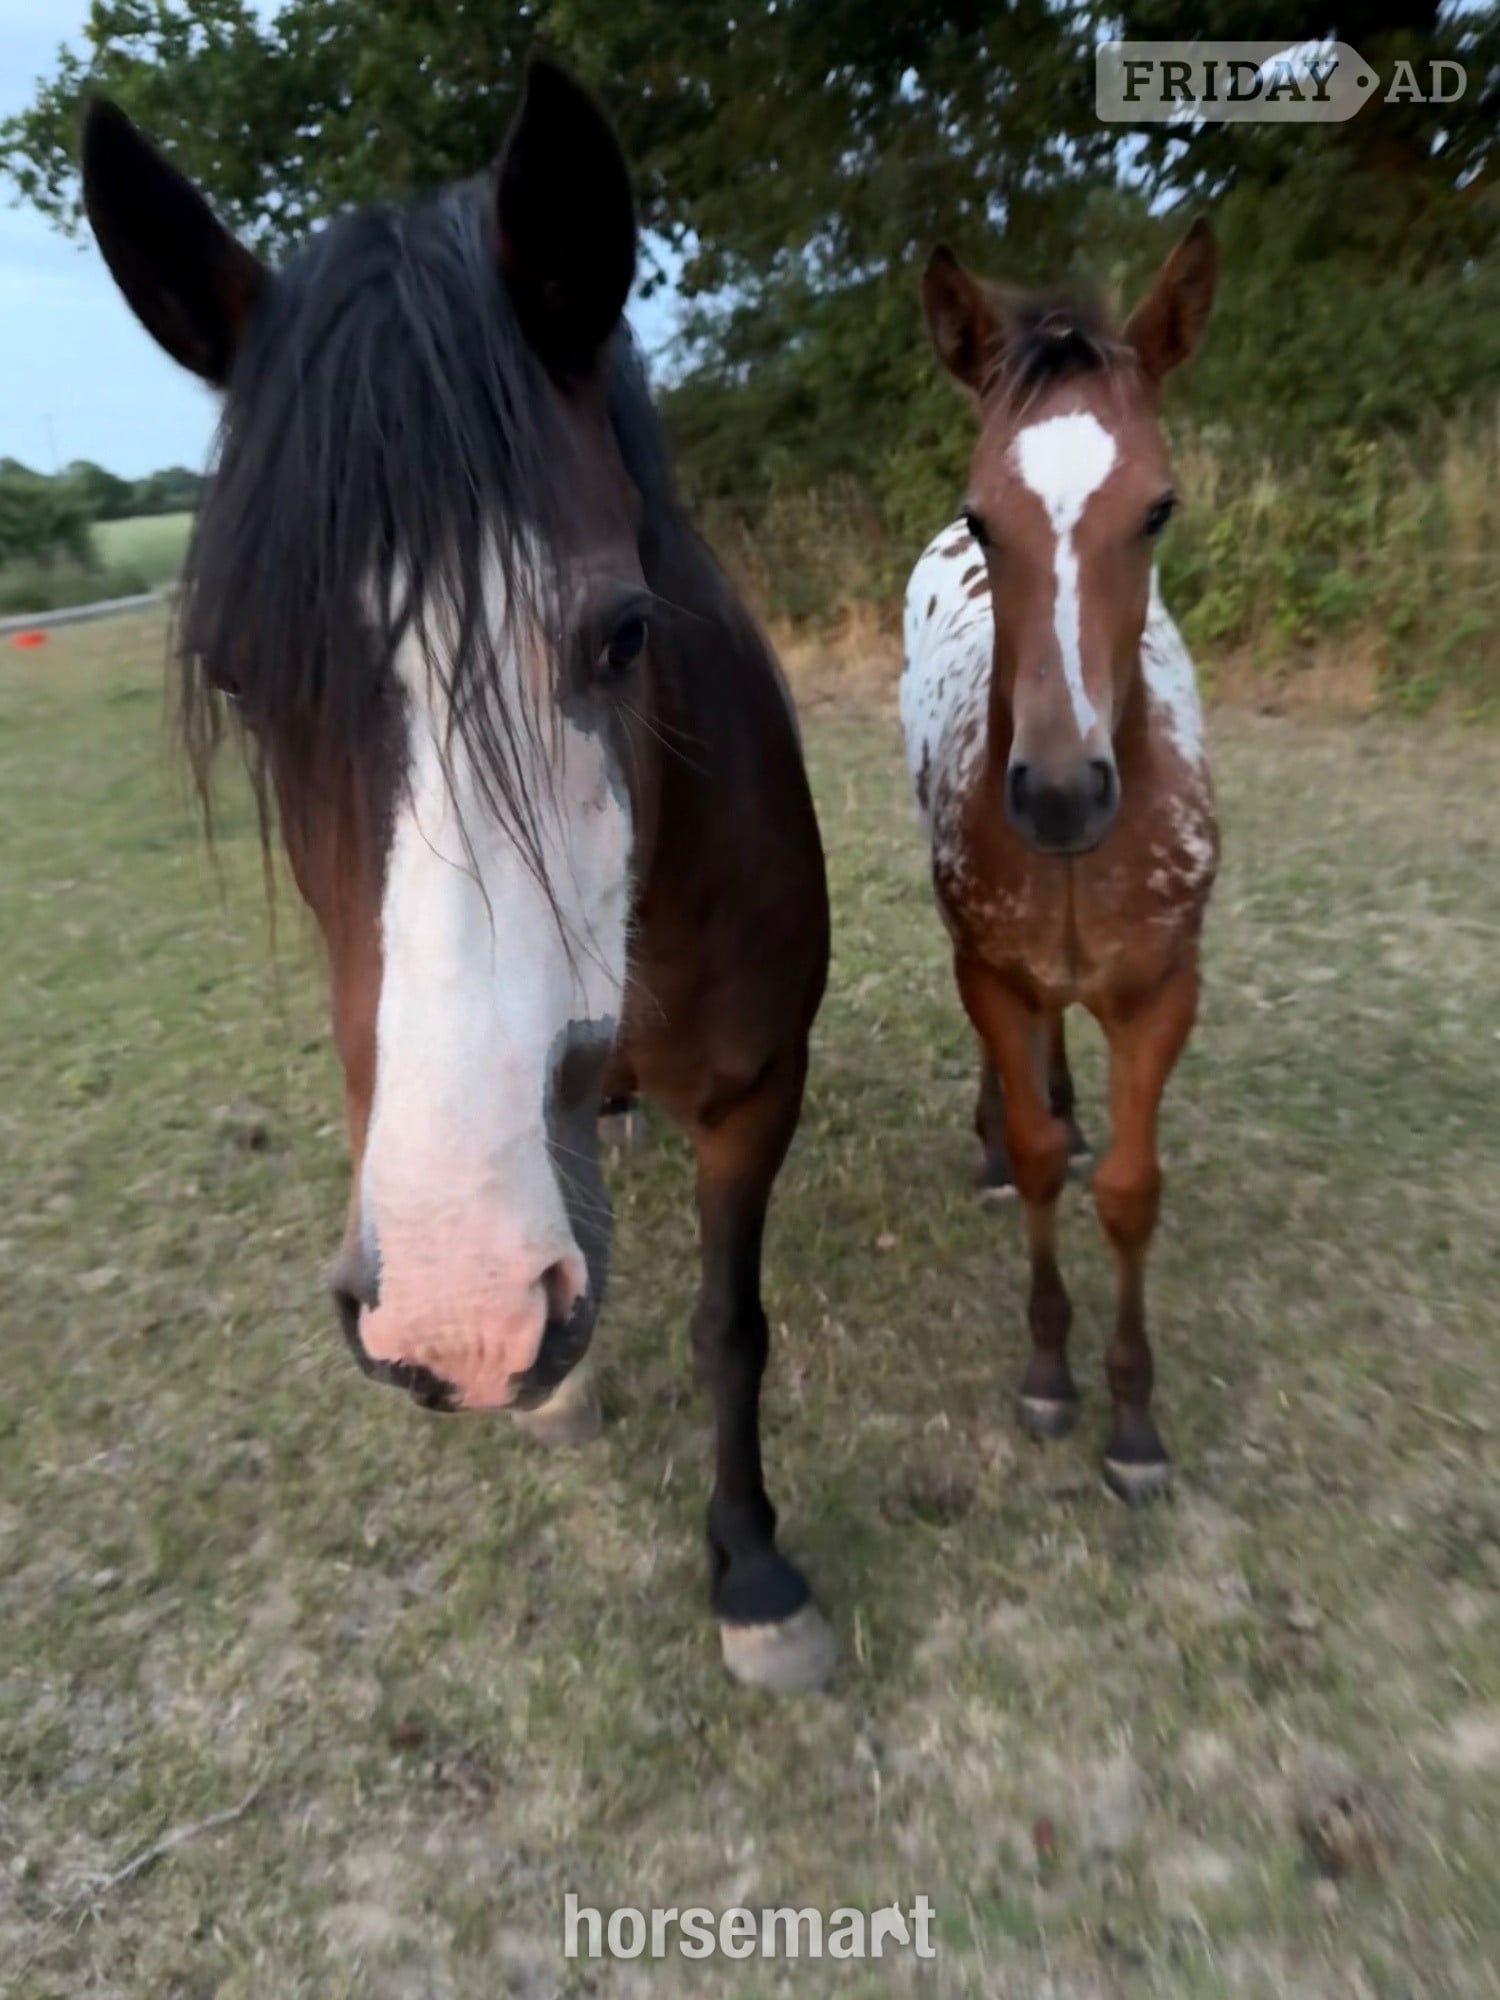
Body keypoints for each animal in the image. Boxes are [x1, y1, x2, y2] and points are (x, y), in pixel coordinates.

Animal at [80, 58, 835, 1691]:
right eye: (239, 679)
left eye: (622, 636)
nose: (463, 1312)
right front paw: (556, 1389)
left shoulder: (759, 1088)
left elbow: (730, 1323)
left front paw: (754, 1572)